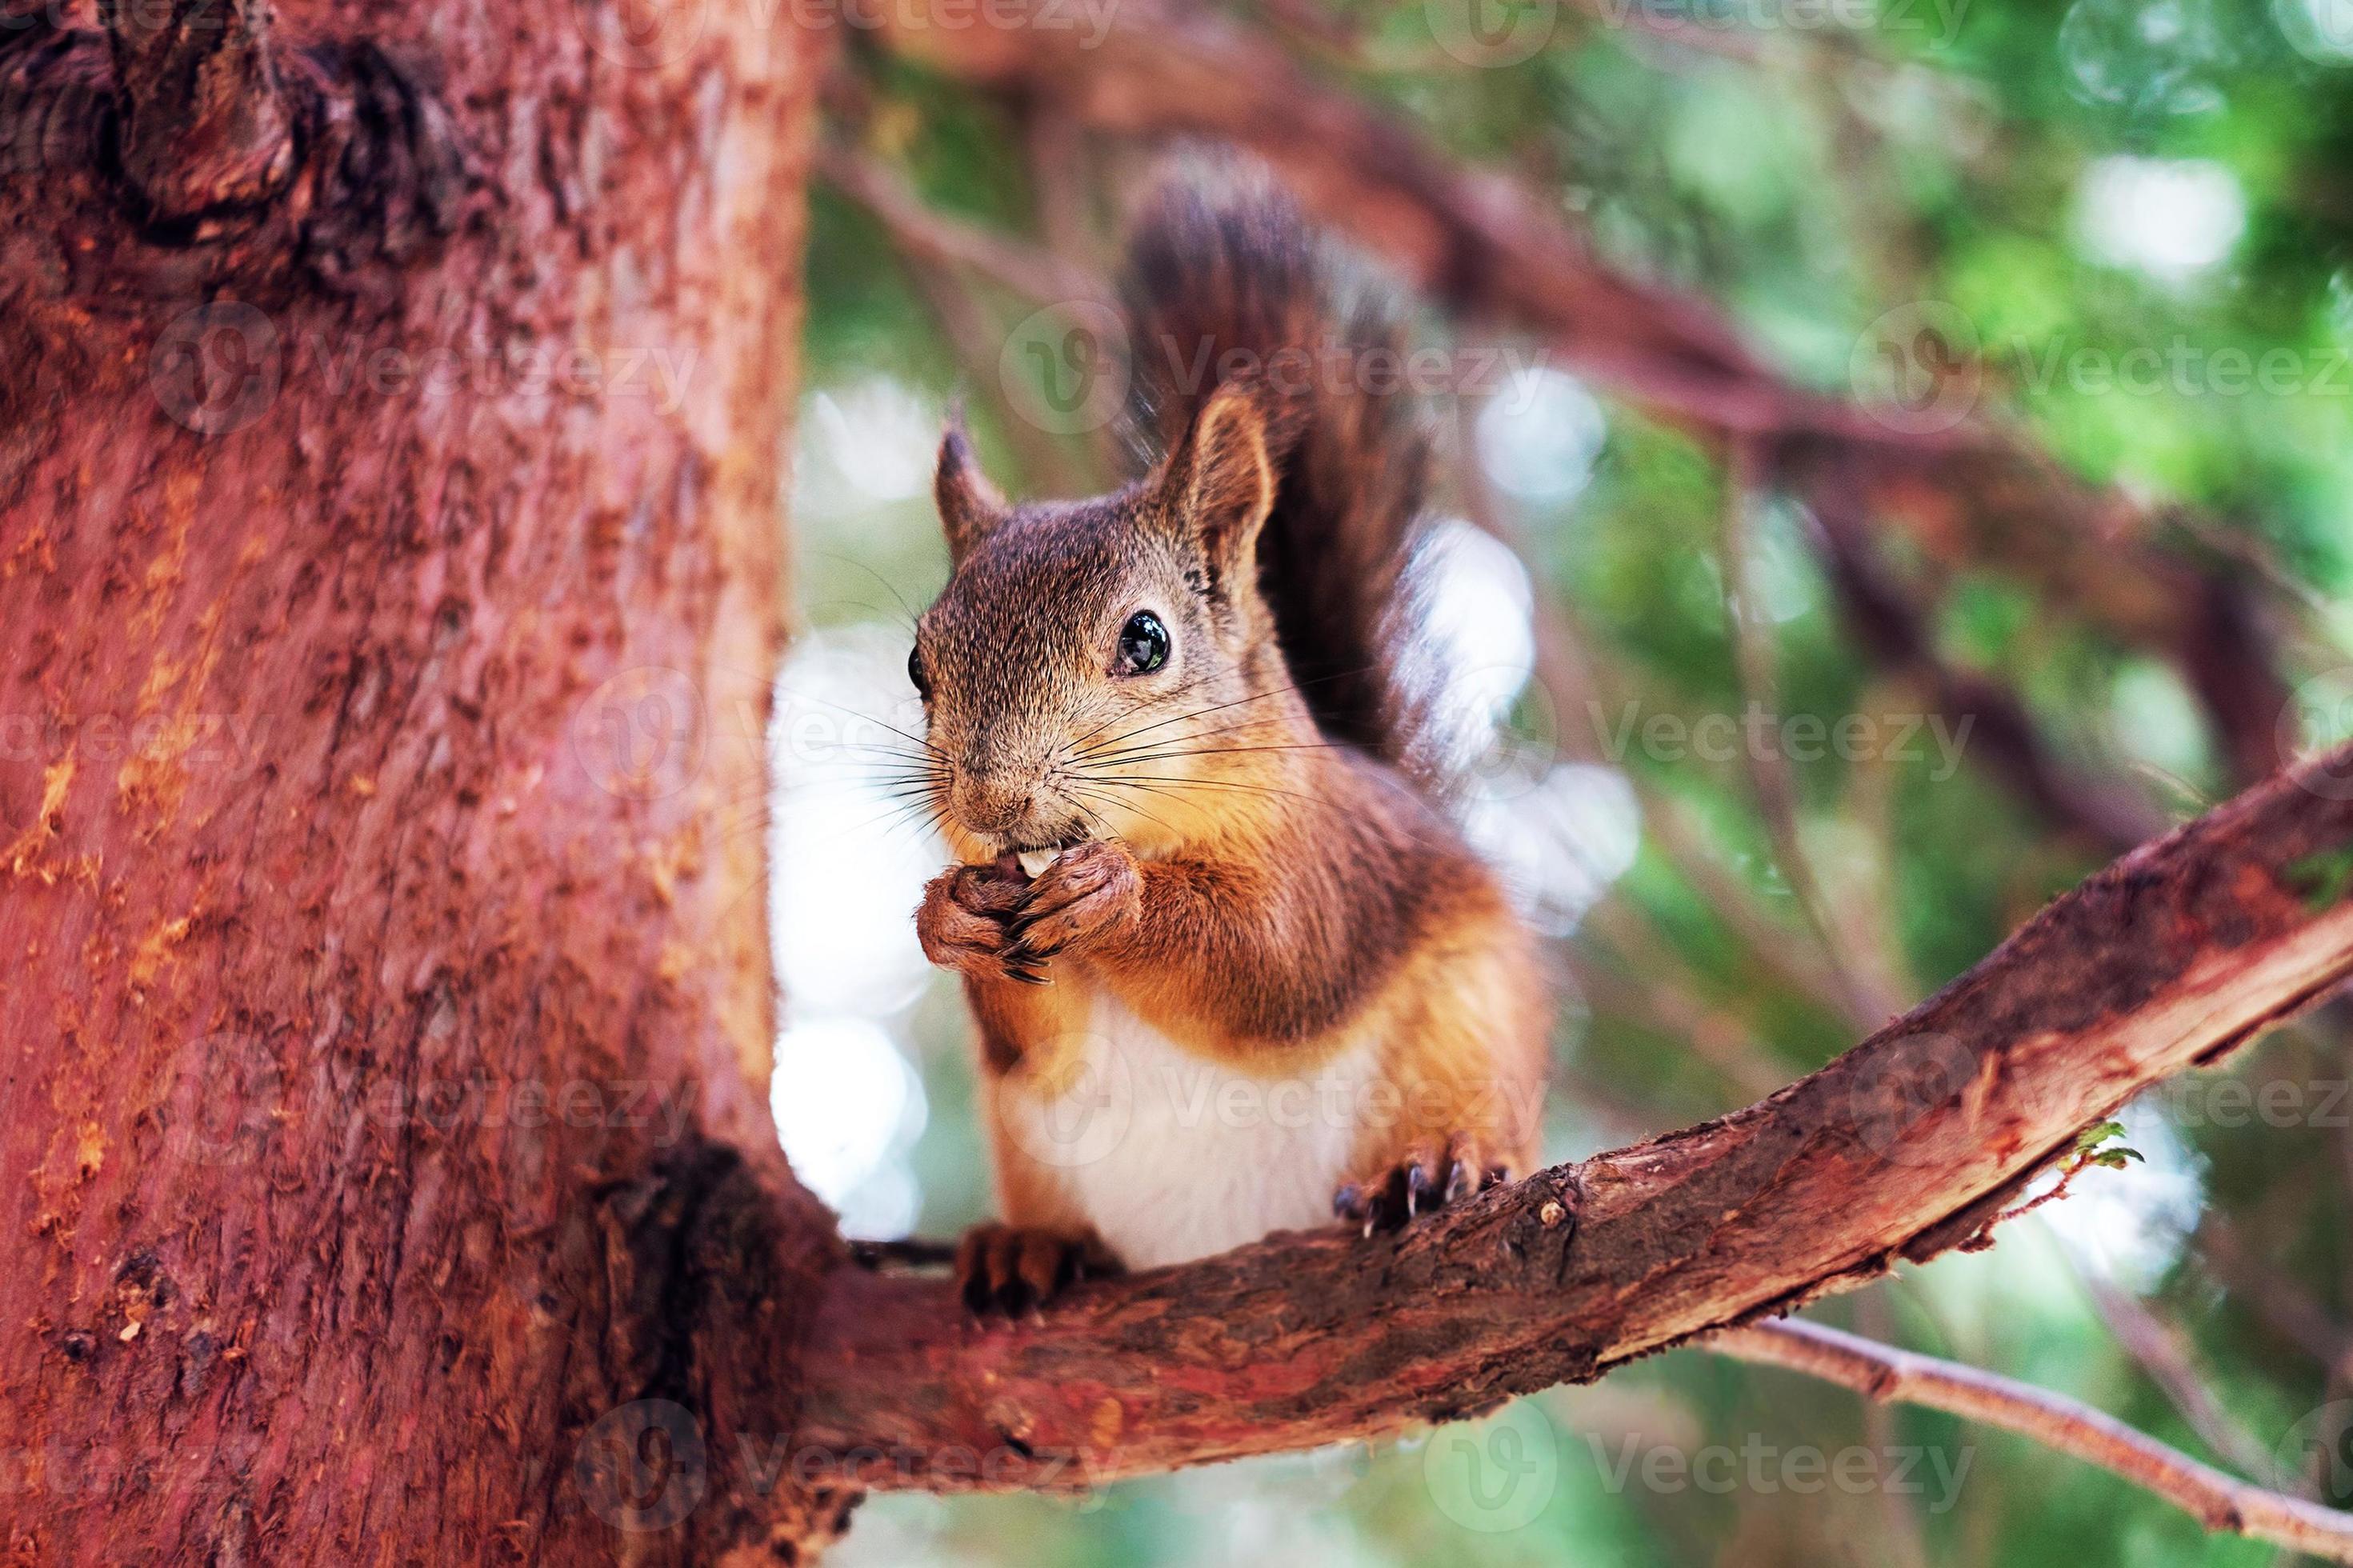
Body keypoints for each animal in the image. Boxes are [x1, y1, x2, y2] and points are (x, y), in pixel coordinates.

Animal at [908, 169, 1550, 1314]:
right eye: (915, 666)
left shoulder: (1328, 864)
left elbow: (1273, 959)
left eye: (1146, 639)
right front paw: (949, 917)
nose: (988, 803)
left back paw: (1436, 1163)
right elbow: (1034, 1050)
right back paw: (1032, 1246)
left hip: (1471, 1027)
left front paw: (1117, 896)